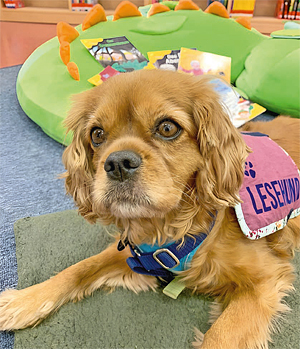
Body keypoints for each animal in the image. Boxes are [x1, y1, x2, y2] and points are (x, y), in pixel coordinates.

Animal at [0, 69, 300, 346]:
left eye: (167, 128)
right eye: (97, 134)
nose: (118, 163)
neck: (173, 225)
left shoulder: (264, 280)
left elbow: (219, 338)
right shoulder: (135, 251)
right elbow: (80, 267)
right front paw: (24, 301)